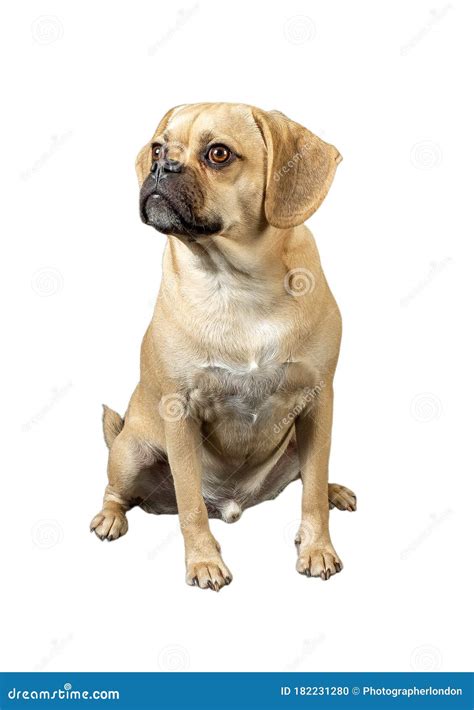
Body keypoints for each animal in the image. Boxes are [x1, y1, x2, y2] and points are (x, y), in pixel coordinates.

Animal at [90, 103, 356, 592]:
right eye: (158, 148)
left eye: (218, 154)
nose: (161, 167)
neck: (235, 284)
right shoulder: (180, 413)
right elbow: (190, 504)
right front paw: (203, 561)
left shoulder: (318, 404)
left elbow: (311, 490)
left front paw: (316, 548)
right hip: (131, 452)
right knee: (118, 492)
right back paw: (110, 517)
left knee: (313, 477)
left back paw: (333, 491)